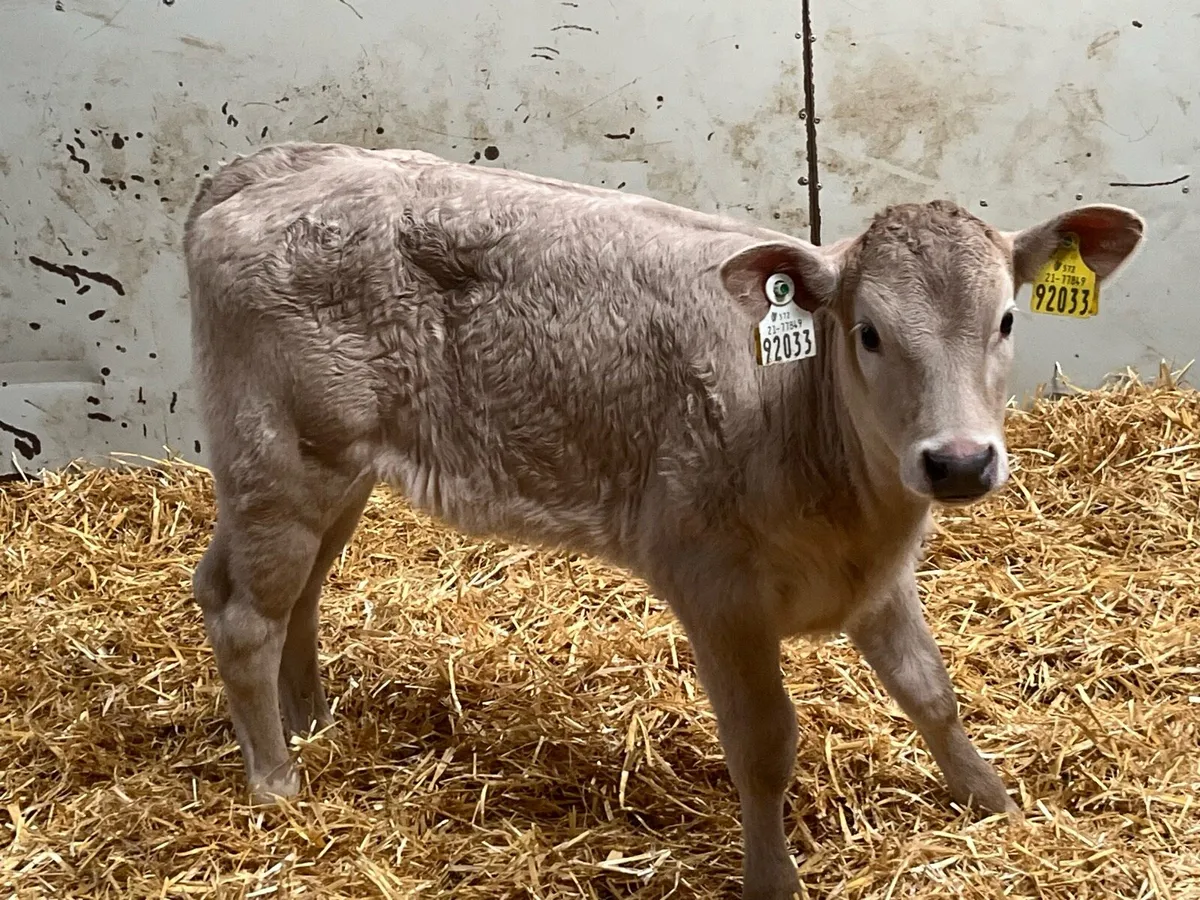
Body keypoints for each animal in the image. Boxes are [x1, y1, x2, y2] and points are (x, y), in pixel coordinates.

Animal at [183, 141, 1145, 899]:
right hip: (282, 459)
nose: (958, 461)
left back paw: (309, 718)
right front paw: (773, 882)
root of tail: (272, 166)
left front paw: (995, 804)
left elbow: (931, 692)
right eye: (868, 332)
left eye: (1007, 319)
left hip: (335, 470)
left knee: (291, 592)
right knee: (244, 614)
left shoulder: (876, 578)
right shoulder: (714, 586)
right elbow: (764, 743)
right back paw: (276, 781)